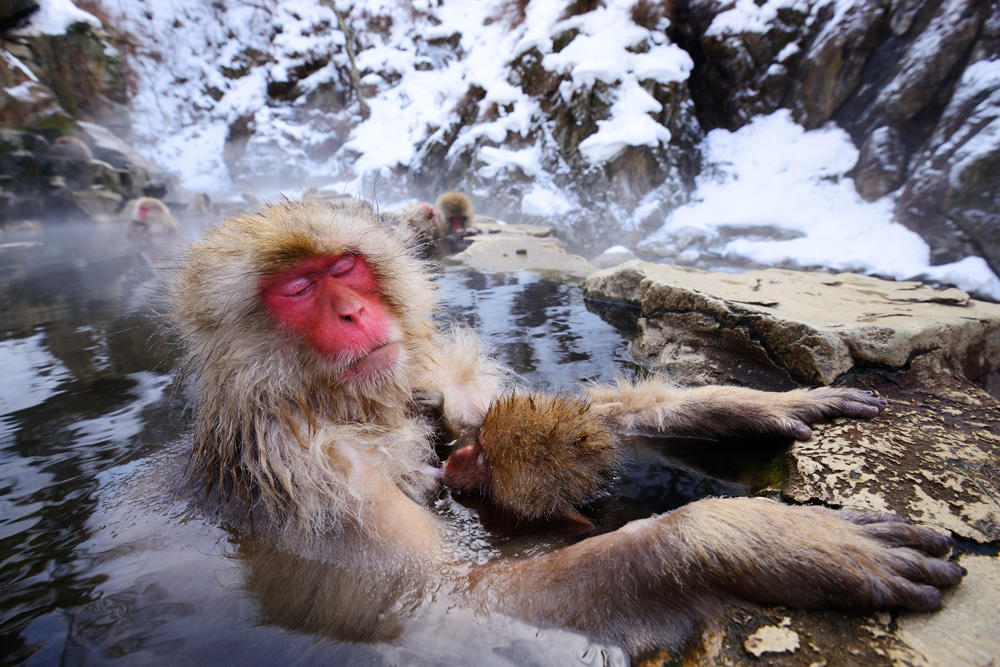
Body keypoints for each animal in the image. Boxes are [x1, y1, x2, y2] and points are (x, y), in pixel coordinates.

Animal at [168, 196, 964, 660]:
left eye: (346, 269)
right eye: (299, 289)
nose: (352, 313)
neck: (346, 404)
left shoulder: (432, 378)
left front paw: (751, 403)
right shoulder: (317, 476)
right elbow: (452, 602)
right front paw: (753, 538)